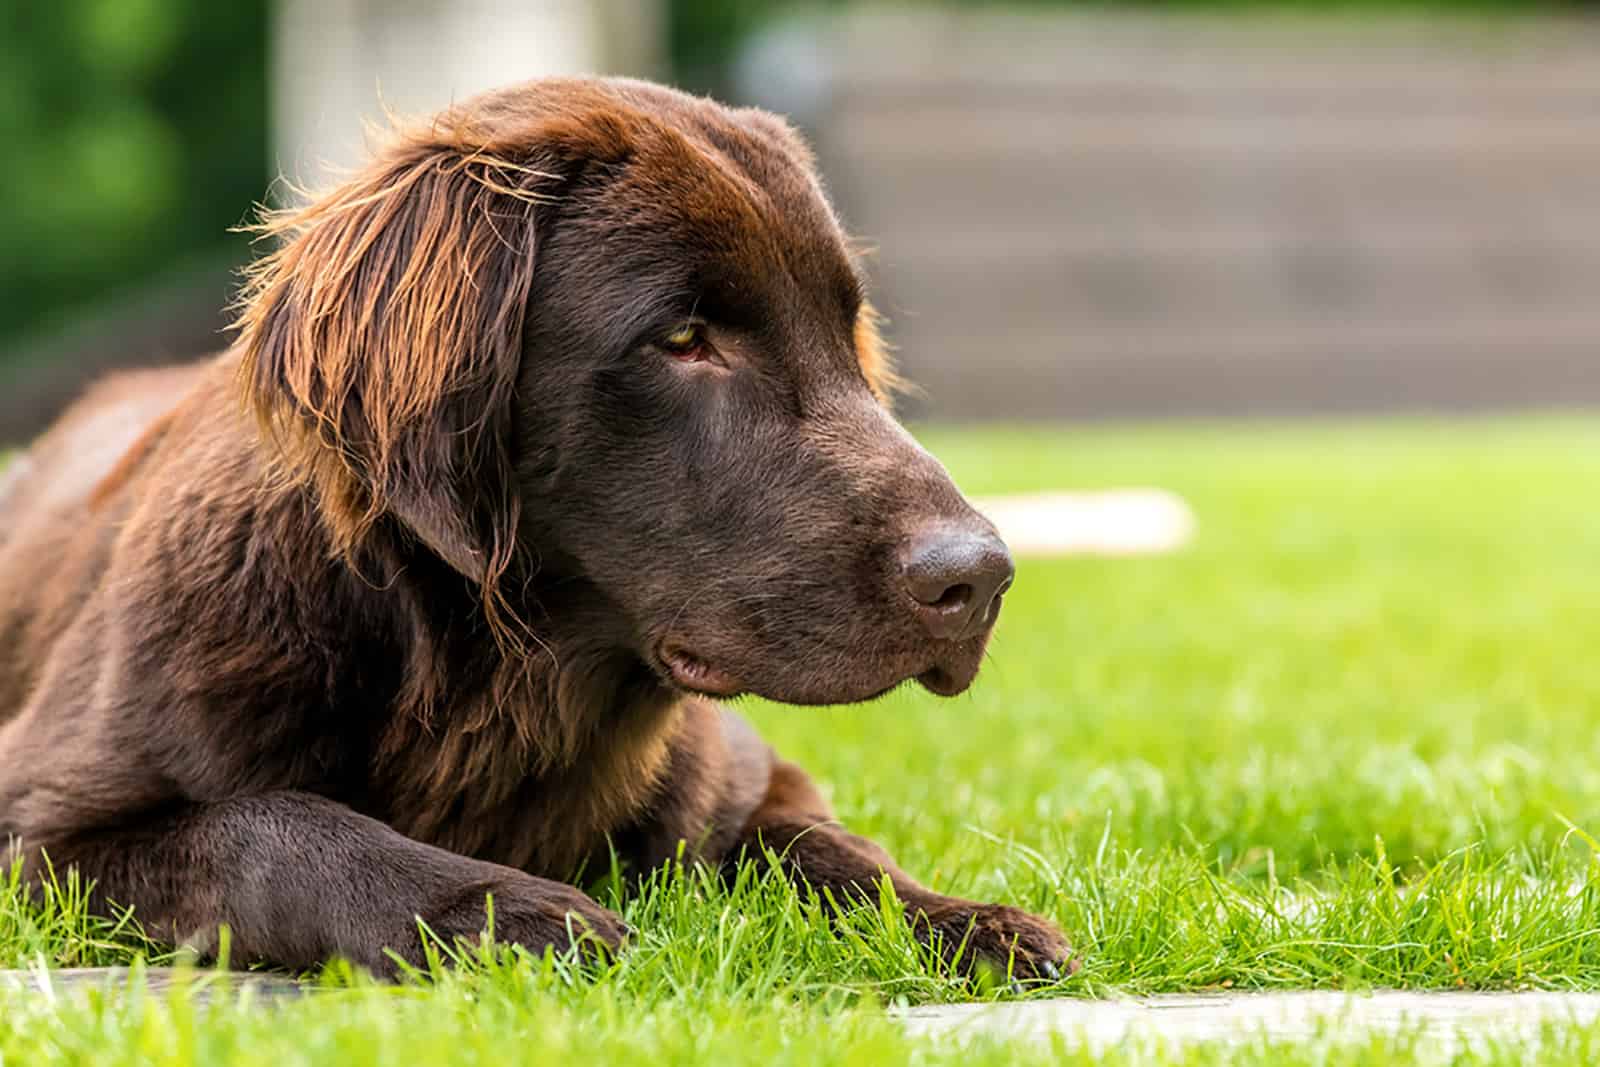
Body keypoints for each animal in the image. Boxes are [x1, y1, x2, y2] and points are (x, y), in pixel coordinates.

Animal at [3, 79, 1075, 979]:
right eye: (682, 338)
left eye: (846, 332)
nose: (980, 578)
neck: (488, 680)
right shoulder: (40, 824)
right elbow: (271, 829)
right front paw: (512, 914)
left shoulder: (744, 776)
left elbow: (823, 845)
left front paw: (970, 922)